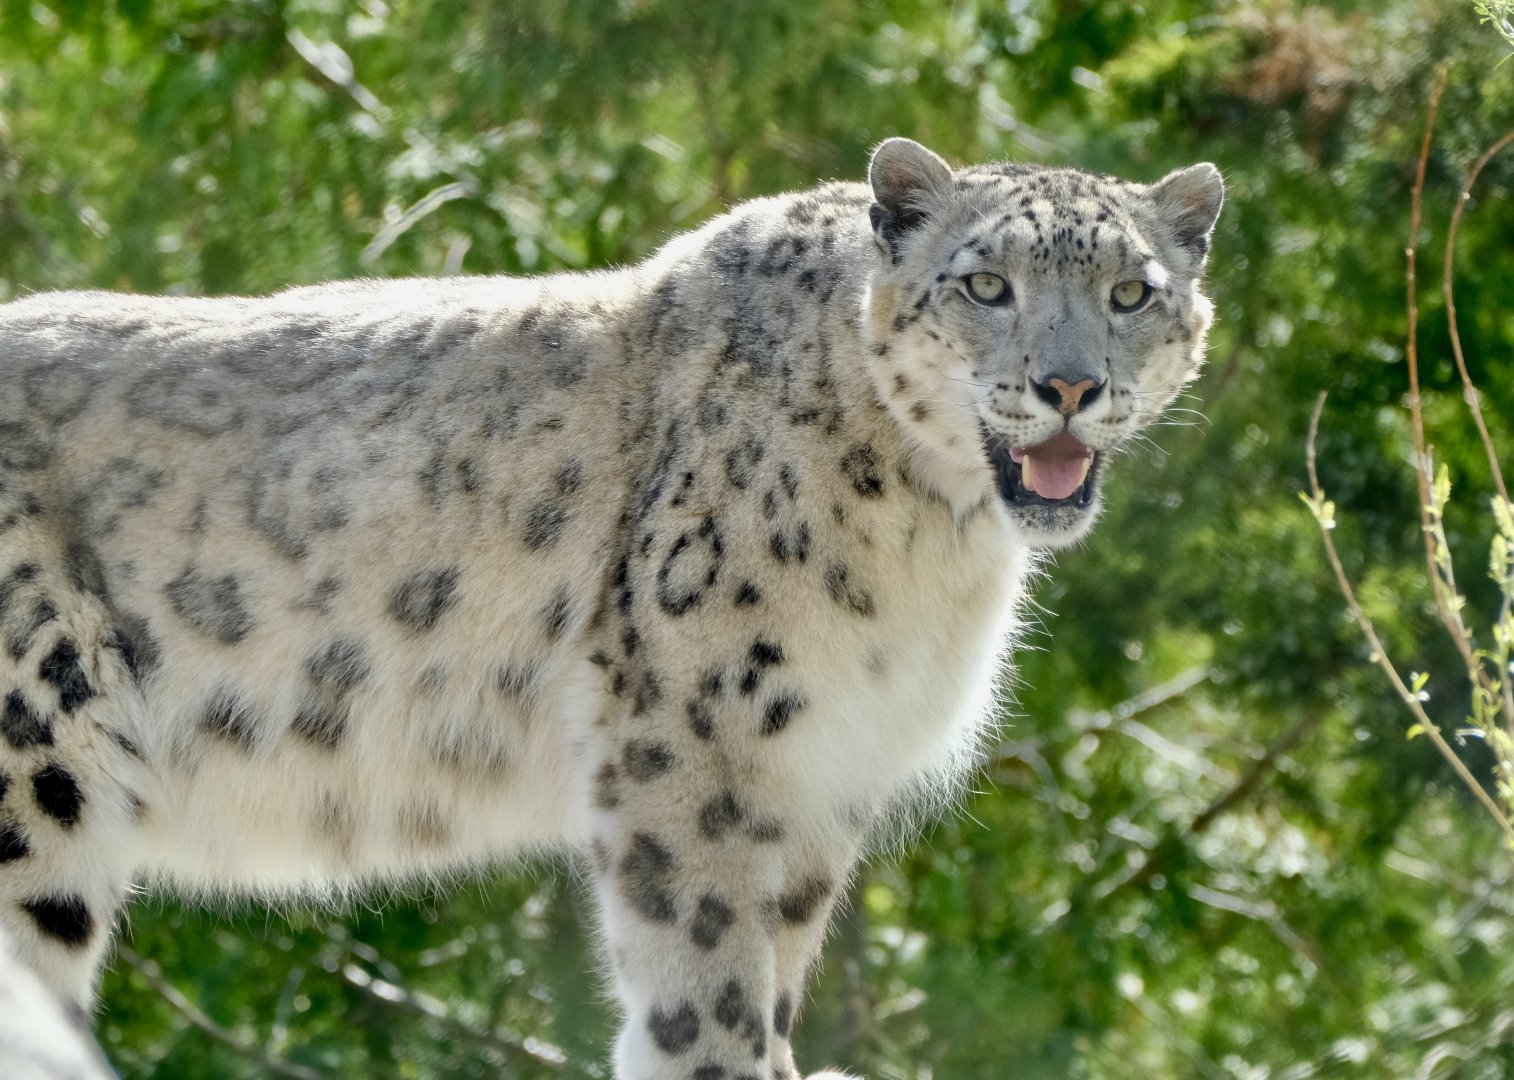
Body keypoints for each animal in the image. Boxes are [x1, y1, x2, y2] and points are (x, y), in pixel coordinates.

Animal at [0, 137, 1221, 1079]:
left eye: (1130, 292)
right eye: (985, 286)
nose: (1071, 386)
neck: (937, 539)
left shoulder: (823, 768)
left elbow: (777, 963)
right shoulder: (698, 737)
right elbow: (707, 969)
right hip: (34, 777)